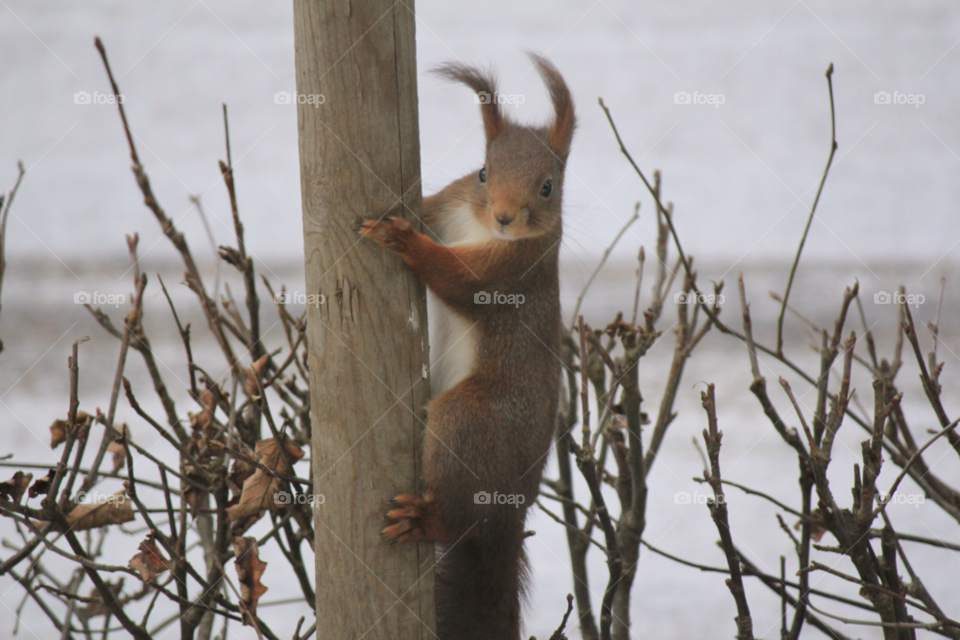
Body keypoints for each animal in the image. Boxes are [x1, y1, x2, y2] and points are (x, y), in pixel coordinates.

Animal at [356, 53, 572, 640]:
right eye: (482, 172)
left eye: (548, 186)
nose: (504, 216)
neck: (479, 229)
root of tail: (512, 517)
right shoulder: (445, 204)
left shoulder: (511, 271)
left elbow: (453, 278)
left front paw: (402, 240)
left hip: (470, 420)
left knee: (460, 518)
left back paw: (424, 519)